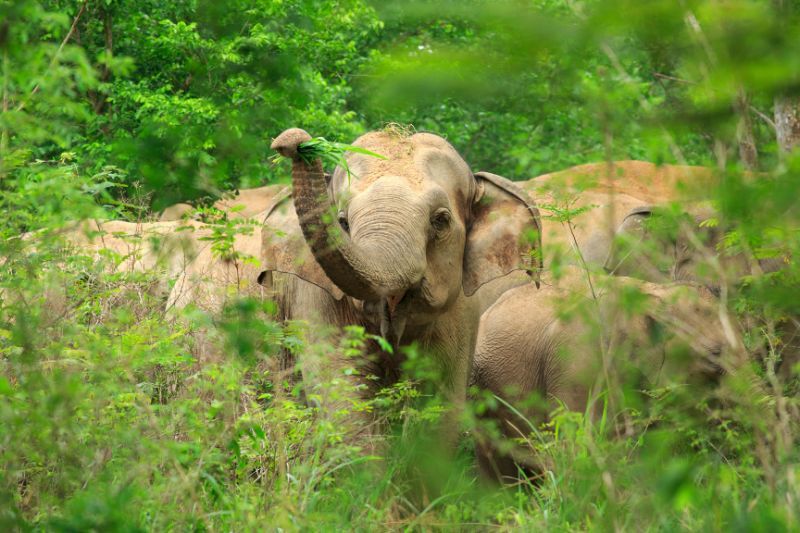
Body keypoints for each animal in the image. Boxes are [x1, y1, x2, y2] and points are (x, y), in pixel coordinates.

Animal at [262, 127, 544, 446]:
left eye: (440, 220)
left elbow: (438, 405)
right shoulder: (316, 300)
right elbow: (343, 393)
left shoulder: (460, 313)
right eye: (343, 222)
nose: (293, 142)